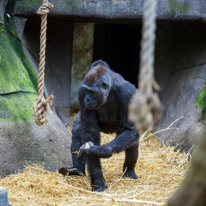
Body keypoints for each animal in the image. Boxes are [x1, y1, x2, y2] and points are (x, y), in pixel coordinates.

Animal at [59, 59, 140, 192]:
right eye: (86, 91)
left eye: (91, 92)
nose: (87, 99)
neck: (109, 90)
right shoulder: (81, 92)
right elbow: (89, 133)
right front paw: (98, 179)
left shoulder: (128, 93)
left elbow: (131, 129)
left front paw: (101, 151)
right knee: (77, 131)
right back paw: (77, 171)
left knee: (132, 143)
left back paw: (129, 172)